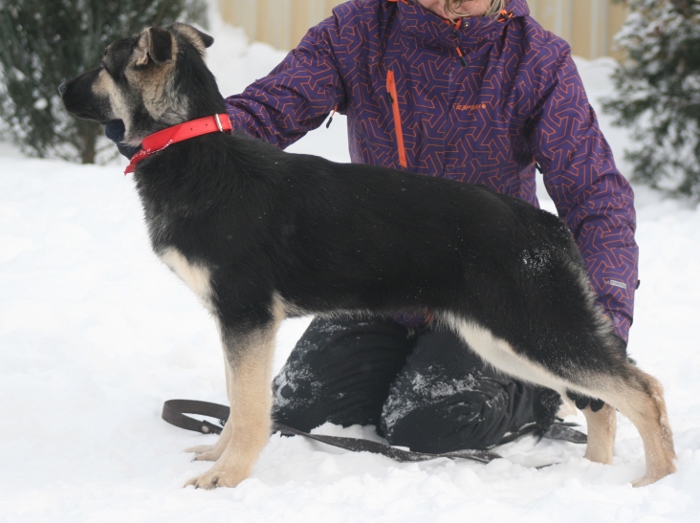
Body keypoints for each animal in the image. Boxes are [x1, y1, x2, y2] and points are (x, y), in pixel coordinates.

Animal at [61, 23, 680, 492]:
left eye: (103, 65)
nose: (62, 88)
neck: (191, 146)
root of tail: (547, 225)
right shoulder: (240, 326)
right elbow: (237, 402)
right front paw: (217, 456)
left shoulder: (247, 318)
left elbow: (249, 408)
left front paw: (229, 476)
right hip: (508, 341)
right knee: (600, 400)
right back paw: (591, 476)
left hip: (532, 333)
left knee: (641, 391)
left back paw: (653, 483)